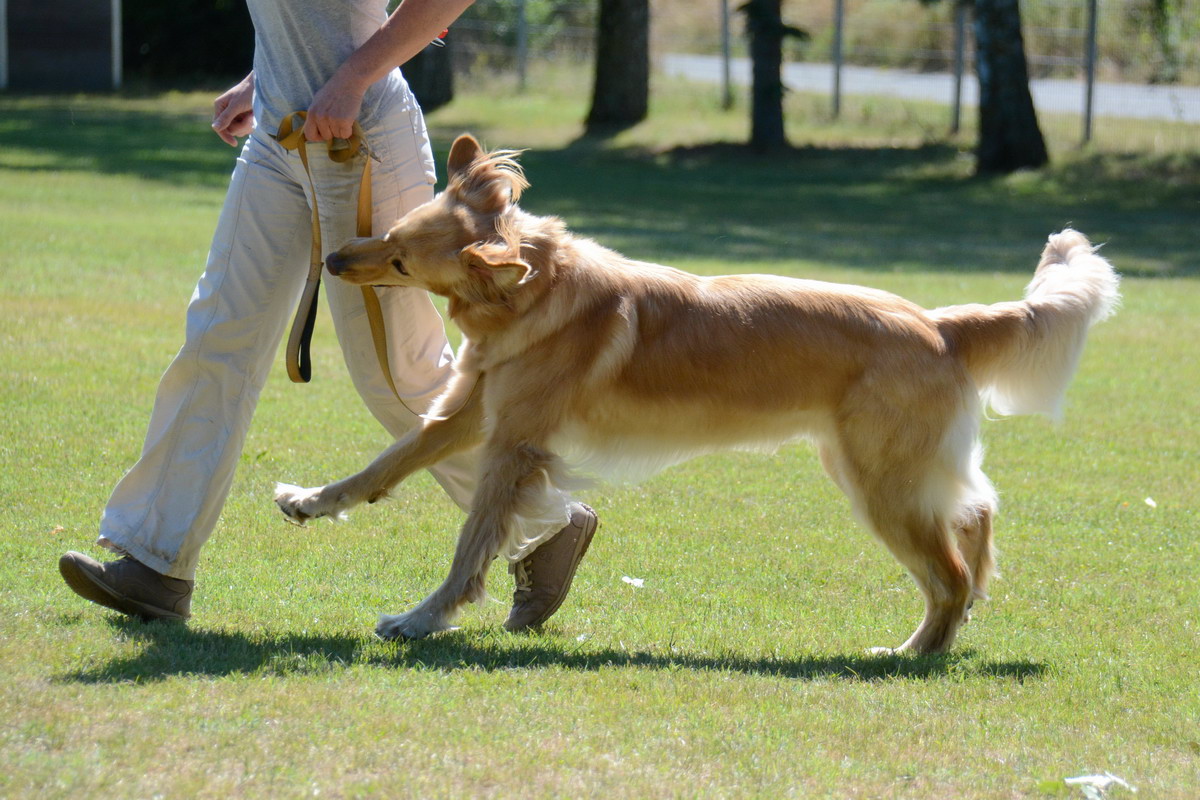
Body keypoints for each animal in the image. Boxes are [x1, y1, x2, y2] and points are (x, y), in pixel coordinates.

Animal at [276, 134, 1118, 652]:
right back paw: (963, 604)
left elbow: (470, 545)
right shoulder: (466, 415)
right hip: (885, 468)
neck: (536, 289)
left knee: (946, 572)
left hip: (881, 481)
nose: (337, 260)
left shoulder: (511, 446)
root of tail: (940, 323)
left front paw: (422, 619)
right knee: (975, 512)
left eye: (401, 259)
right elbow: (381, 465)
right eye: (390, 233)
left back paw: (916, 649)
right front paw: (310, 501)